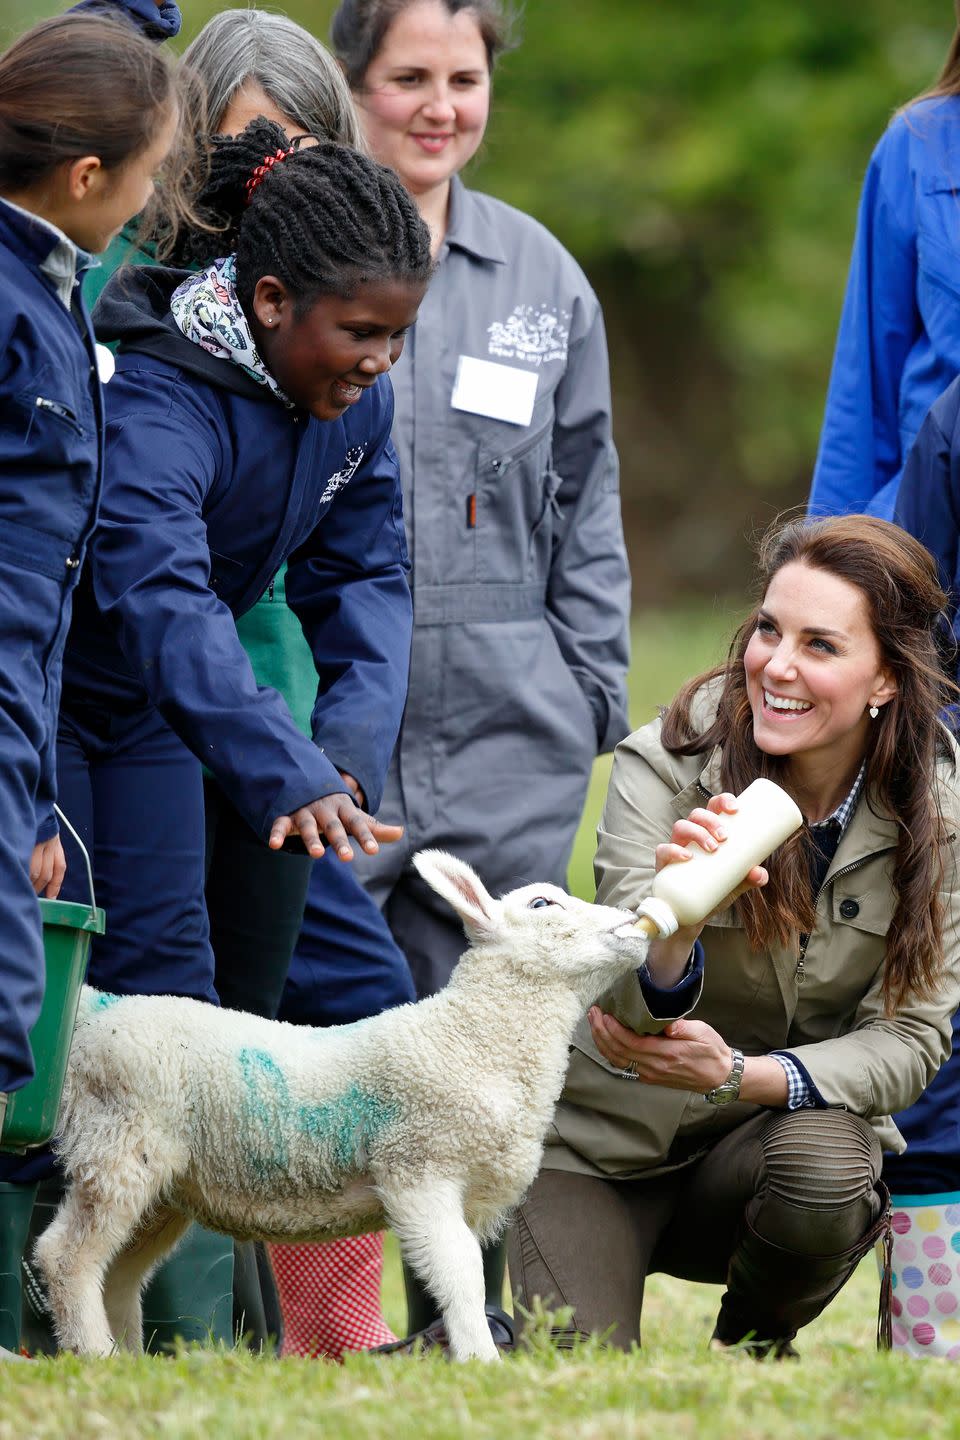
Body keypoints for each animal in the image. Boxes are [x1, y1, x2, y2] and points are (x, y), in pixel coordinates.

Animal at [33, 852, 650, 1359]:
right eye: (542, 903)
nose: (635, 922)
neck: (471, 1039)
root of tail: (95, 1012)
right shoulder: (417, 1169)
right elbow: (460, 1276)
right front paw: (481, 1362)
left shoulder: (471, 1195)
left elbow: (467, 1279)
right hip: (118, 1143)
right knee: (65, 1257)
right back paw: (94, 1354)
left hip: (162, 1184)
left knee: (119, 1275)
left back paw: (129, 1362)